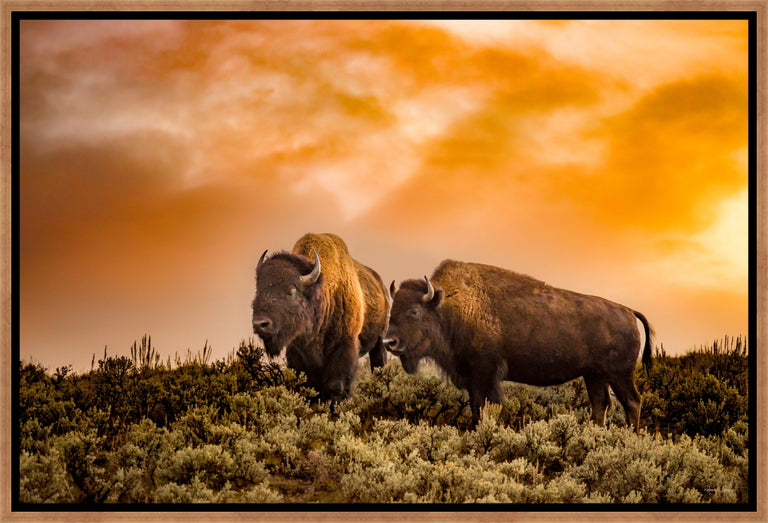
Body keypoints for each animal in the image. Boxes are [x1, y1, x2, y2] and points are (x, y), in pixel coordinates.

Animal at [252, 233, 389, 401]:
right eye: (258, 290)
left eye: (292, 291)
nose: (260, 324)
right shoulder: (296, 351)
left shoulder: (345, 346)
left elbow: (335, 386)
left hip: (379, 341)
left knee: (378, 363)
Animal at [384, 260, 653, 430]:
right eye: (392, 309)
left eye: (414, 311)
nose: (389, 342)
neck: (450, 307)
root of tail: (628, 311)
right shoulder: (472, 378)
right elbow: (476, 409)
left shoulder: (485, 374)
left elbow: (486, 408)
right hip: (594, 375)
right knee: (601, 404)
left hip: (619, 374)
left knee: (631, 401)